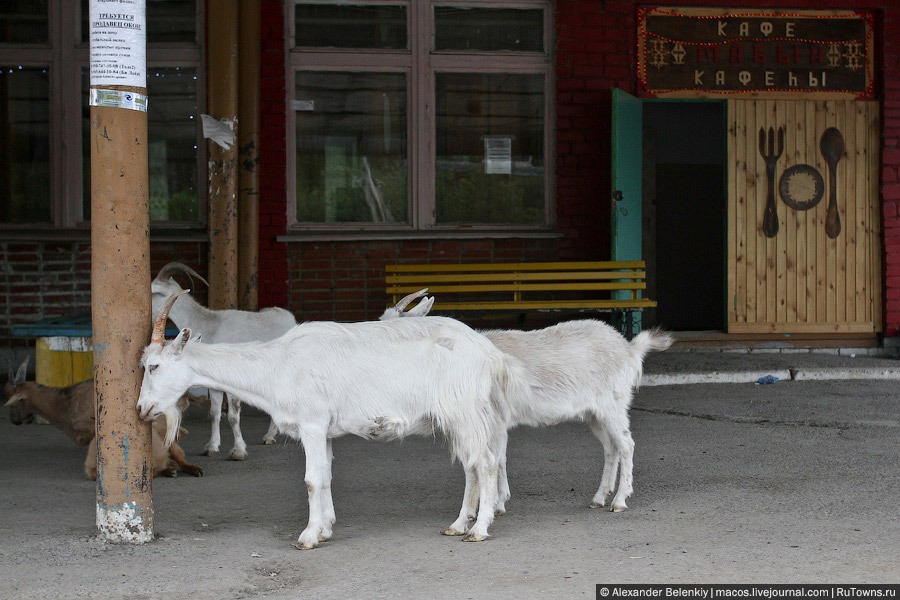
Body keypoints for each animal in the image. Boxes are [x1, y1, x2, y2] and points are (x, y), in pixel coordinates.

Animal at [137, 290, 510, 548]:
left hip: (465, 411)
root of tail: (488, 352)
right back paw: (458, 525)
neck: (278, 363)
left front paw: (308, 535)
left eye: (153, 366)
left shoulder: (312, 425)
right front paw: (327, 528)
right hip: (459, 420)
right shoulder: (326, 432)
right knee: (472, 465)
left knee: (486, 463)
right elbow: (327, 476)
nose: (141, 409)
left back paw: (478, 530)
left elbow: (312, 479)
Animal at [151, 262, 296, 460]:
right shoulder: (214, 384)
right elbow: (214, 413)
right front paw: (211, 447)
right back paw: (269, 436)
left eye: (154, 292)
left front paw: (238, 451)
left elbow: (233, 416)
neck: (210, 327)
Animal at [382, 290, 676, 516]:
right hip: (594, 413)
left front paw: (497, 504)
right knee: (611, 448)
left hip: (613, 404)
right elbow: (499, 456)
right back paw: (599, 498)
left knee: (626, 444)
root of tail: (630, 349)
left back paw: (619, 501)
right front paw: (499, 502)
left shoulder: (496, 417)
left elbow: (498, 456)